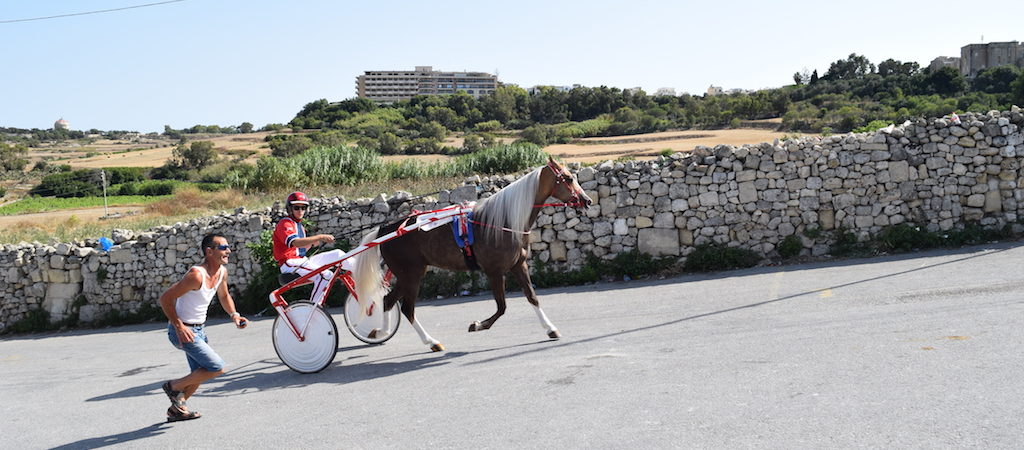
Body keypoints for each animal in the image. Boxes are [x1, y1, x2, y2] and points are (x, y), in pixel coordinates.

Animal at [350, 157, 593, 352]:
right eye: (568, 179)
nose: (587, 201)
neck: (503, 221)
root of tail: (385, 230)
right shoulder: (494, 271)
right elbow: (502, 307)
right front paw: (478, 325)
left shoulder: (519, 265)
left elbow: (532, 297)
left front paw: (550, 328)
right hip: (411, 276)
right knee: (407, 308)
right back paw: (431, 342)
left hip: (408, 275)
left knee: (388, 301)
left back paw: (380, 332)